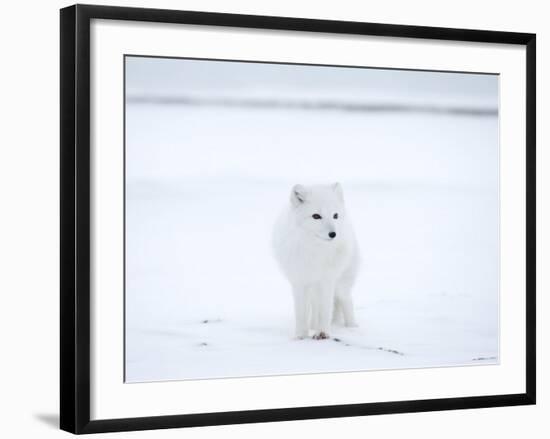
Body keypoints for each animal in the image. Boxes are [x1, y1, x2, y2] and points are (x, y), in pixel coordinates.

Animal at [272, 182, 360, 340]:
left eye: (335, 215)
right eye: (316, 216)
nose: (333, 234)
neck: (315, 250)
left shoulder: (327, 280)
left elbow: (325, 310)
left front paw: (323, 333)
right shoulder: (299, 281)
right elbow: (301, 313)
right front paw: (300, 335)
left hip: (341, 284)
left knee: (347, 301)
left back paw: (352, 327)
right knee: (314, 307)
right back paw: (312, 326)